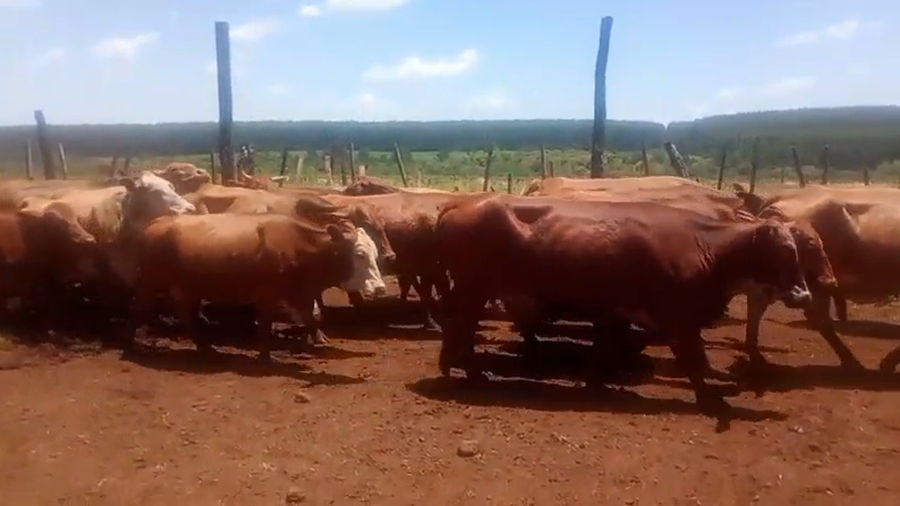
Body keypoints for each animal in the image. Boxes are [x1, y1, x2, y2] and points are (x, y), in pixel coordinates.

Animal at [124, 213, 386, 360]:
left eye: (374, 253)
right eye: (359, 254)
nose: (381, 289)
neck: (301, 247)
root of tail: (157, 223)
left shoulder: (299, 295)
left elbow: (312, 319)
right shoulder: (268, 295)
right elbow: (266, 324)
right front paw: (266, 356)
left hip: (188, 288)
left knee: (186, 314)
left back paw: (204, 347)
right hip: (149, 282)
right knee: (139, 309)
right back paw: (130, 347)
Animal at [434, 194, 813, 415]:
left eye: (797, 250)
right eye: (782, 251)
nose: (803, 294)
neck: (705, 246)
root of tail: (464, 203)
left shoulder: (615, 312)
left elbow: (604, 352)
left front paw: (597, 385)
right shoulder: (679, 319)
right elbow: (695, 362)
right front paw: (710, 400)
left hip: (475, 292)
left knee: (460, 330)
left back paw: (461, 370)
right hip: (473, 291)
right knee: (460, 329)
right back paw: (466, 373)